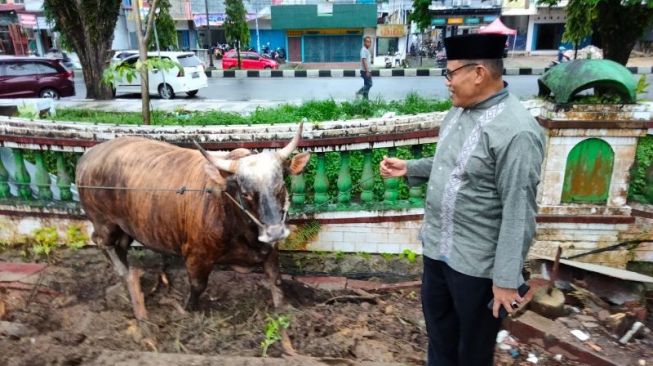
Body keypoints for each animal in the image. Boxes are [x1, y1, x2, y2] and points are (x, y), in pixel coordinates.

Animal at [75, 125, 310, 320]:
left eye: (280, 186)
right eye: (246, 193)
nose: (275, 232)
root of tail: (88, 157)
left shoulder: (269, 249)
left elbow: (276, 279)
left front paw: (284, 308)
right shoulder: (196, 255)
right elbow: (198, 285)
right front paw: (189, 309)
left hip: (125, 225)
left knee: (121, 246)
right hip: (104, 222)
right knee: (102, 242)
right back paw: (124, 274)